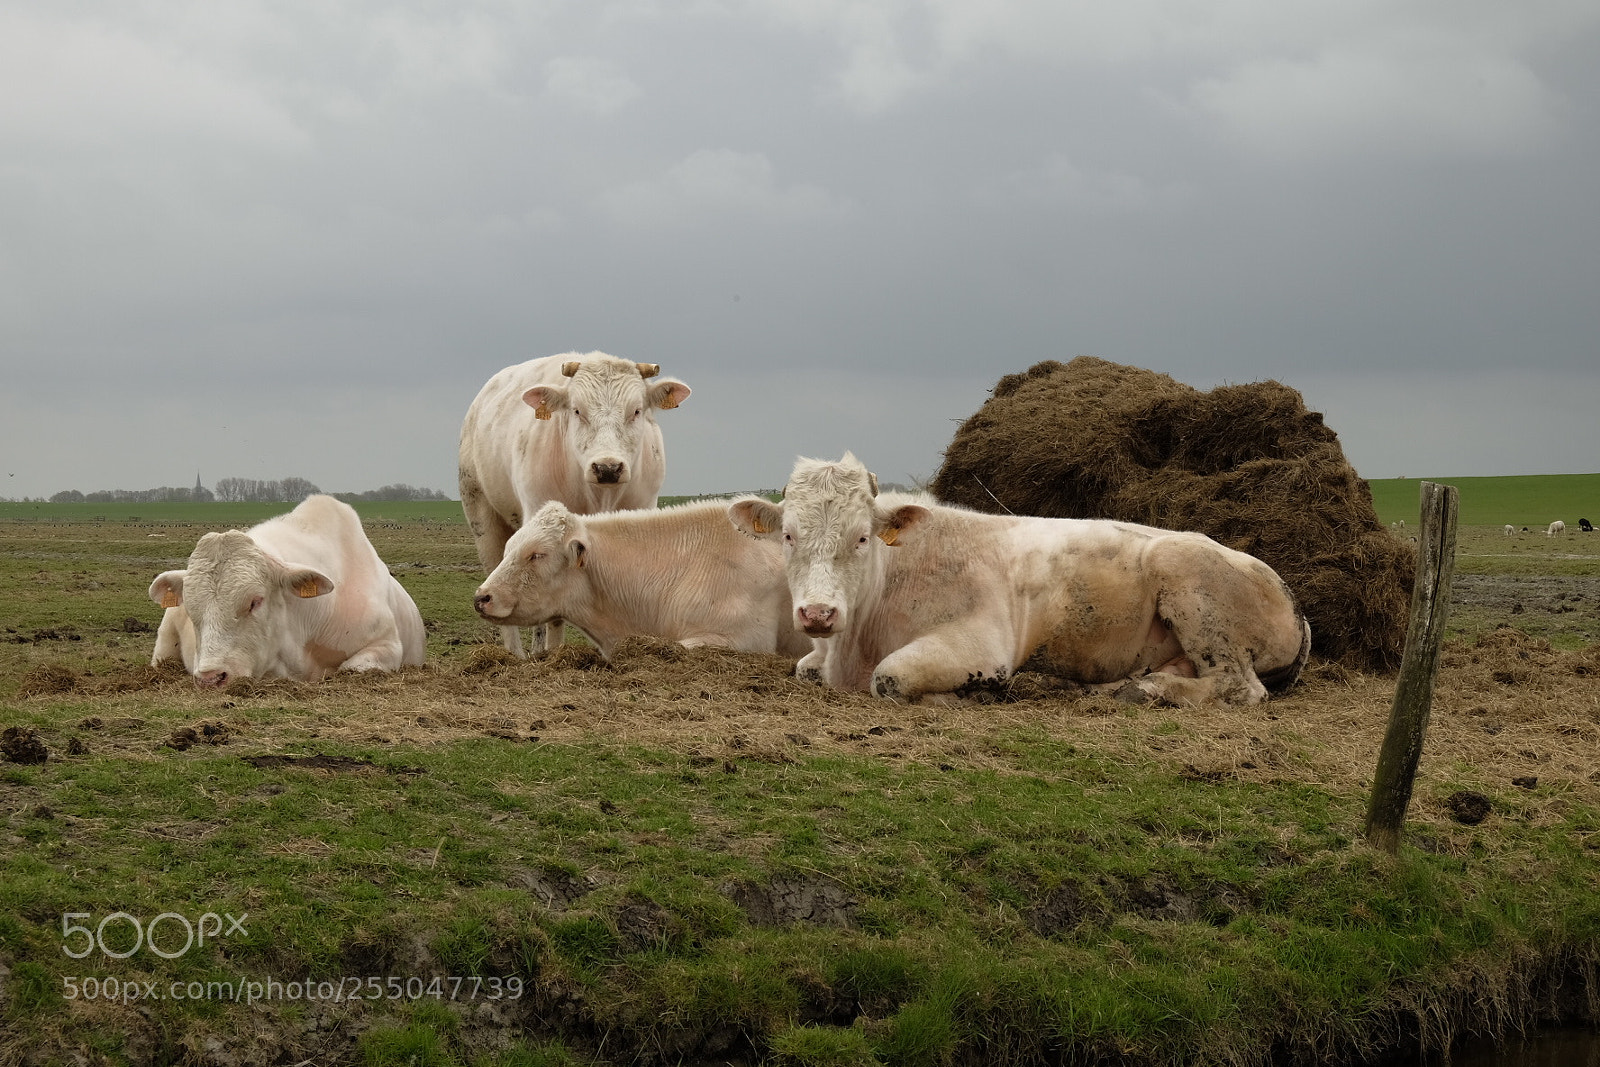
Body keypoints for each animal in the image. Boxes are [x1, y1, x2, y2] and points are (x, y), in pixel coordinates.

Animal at [459, 352, 691, 656]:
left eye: (637, 411)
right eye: (578, 411)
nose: (607, 468)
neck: (599, 495)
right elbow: (553, 609)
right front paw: (554, 653)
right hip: (481, 515)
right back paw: (518, 654)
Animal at [729, 453, 1311, 707]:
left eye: (862, 538)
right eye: (787, 536)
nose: (817, 614)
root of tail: (1292, 602)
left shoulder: (981, 645)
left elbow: (890, 678)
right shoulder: (818, 658)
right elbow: (803, 668)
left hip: (1187, 575)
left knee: (1242, 687)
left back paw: (1147, 689)